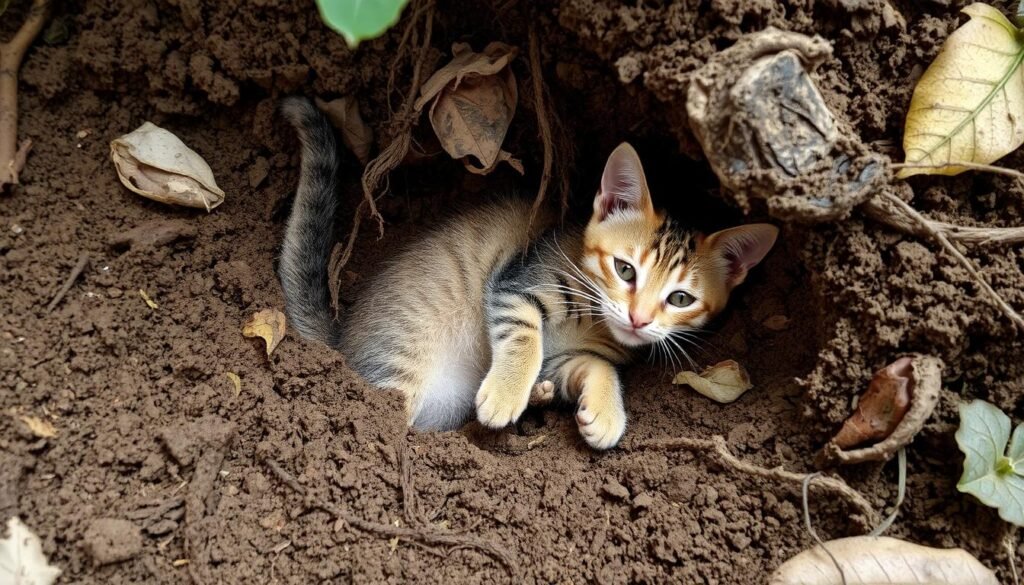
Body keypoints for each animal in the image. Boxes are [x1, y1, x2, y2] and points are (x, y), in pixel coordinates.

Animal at [278, 98, 774, 450]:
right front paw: (506, 393)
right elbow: (523, 334)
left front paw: (604, 413)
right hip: (400, 360)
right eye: (625, 269)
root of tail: (342, 341)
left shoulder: (564, 358)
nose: (639, 319)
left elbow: (593, 365)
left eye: (680, 299)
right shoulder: (515, 282)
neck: (591, 320)